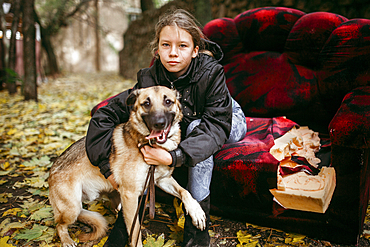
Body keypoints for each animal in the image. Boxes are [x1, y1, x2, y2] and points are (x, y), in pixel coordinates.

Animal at [47, 85, 207, 247]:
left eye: (168, 101)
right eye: (146, 103)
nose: (159, 123)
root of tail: (51, 171)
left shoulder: (162, 180)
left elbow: (185, 191)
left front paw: (196, 211)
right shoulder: (130, 195)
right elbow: (135, 231)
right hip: (73, 207)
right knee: (59, 225)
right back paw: (66, 240)